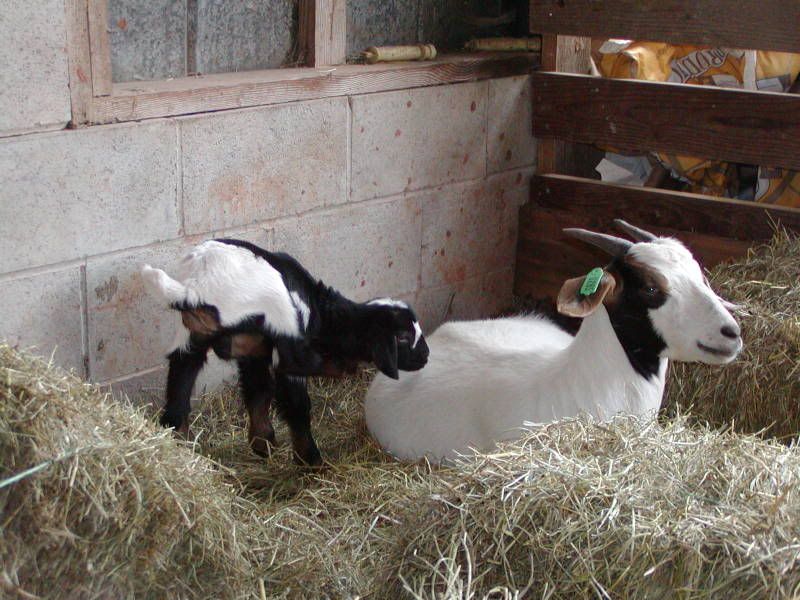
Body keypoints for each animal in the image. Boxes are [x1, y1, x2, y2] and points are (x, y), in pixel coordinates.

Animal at [141, 238, 429, 465]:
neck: (322, 313)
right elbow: (295, 403)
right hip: (278, 315)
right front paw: (308, 460)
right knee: (295, 373)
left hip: (191, 337)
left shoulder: (253, 350)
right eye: (403, 337)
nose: (425, 355)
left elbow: (257, 391)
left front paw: (262, 443)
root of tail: (197, 287)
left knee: (179, 384)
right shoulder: (283, 343)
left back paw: (178, 443)